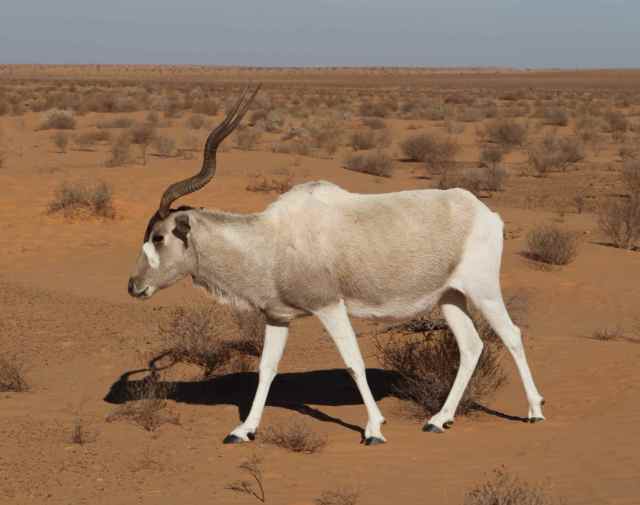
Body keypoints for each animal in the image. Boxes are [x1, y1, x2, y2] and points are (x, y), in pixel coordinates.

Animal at [128, 85, 545, 445]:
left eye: (159, 237)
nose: (134, 286)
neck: (271, 240)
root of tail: (486, 212)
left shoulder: (330, 307)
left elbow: (353, 362)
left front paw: (374, 429)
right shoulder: (278, 317)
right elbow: (266, 369)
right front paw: (243, 430)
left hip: (483, 289)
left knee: (511, 335)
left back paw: (534, 411)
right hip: (450, 296)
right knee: (471, 345)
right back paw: (438, 420)